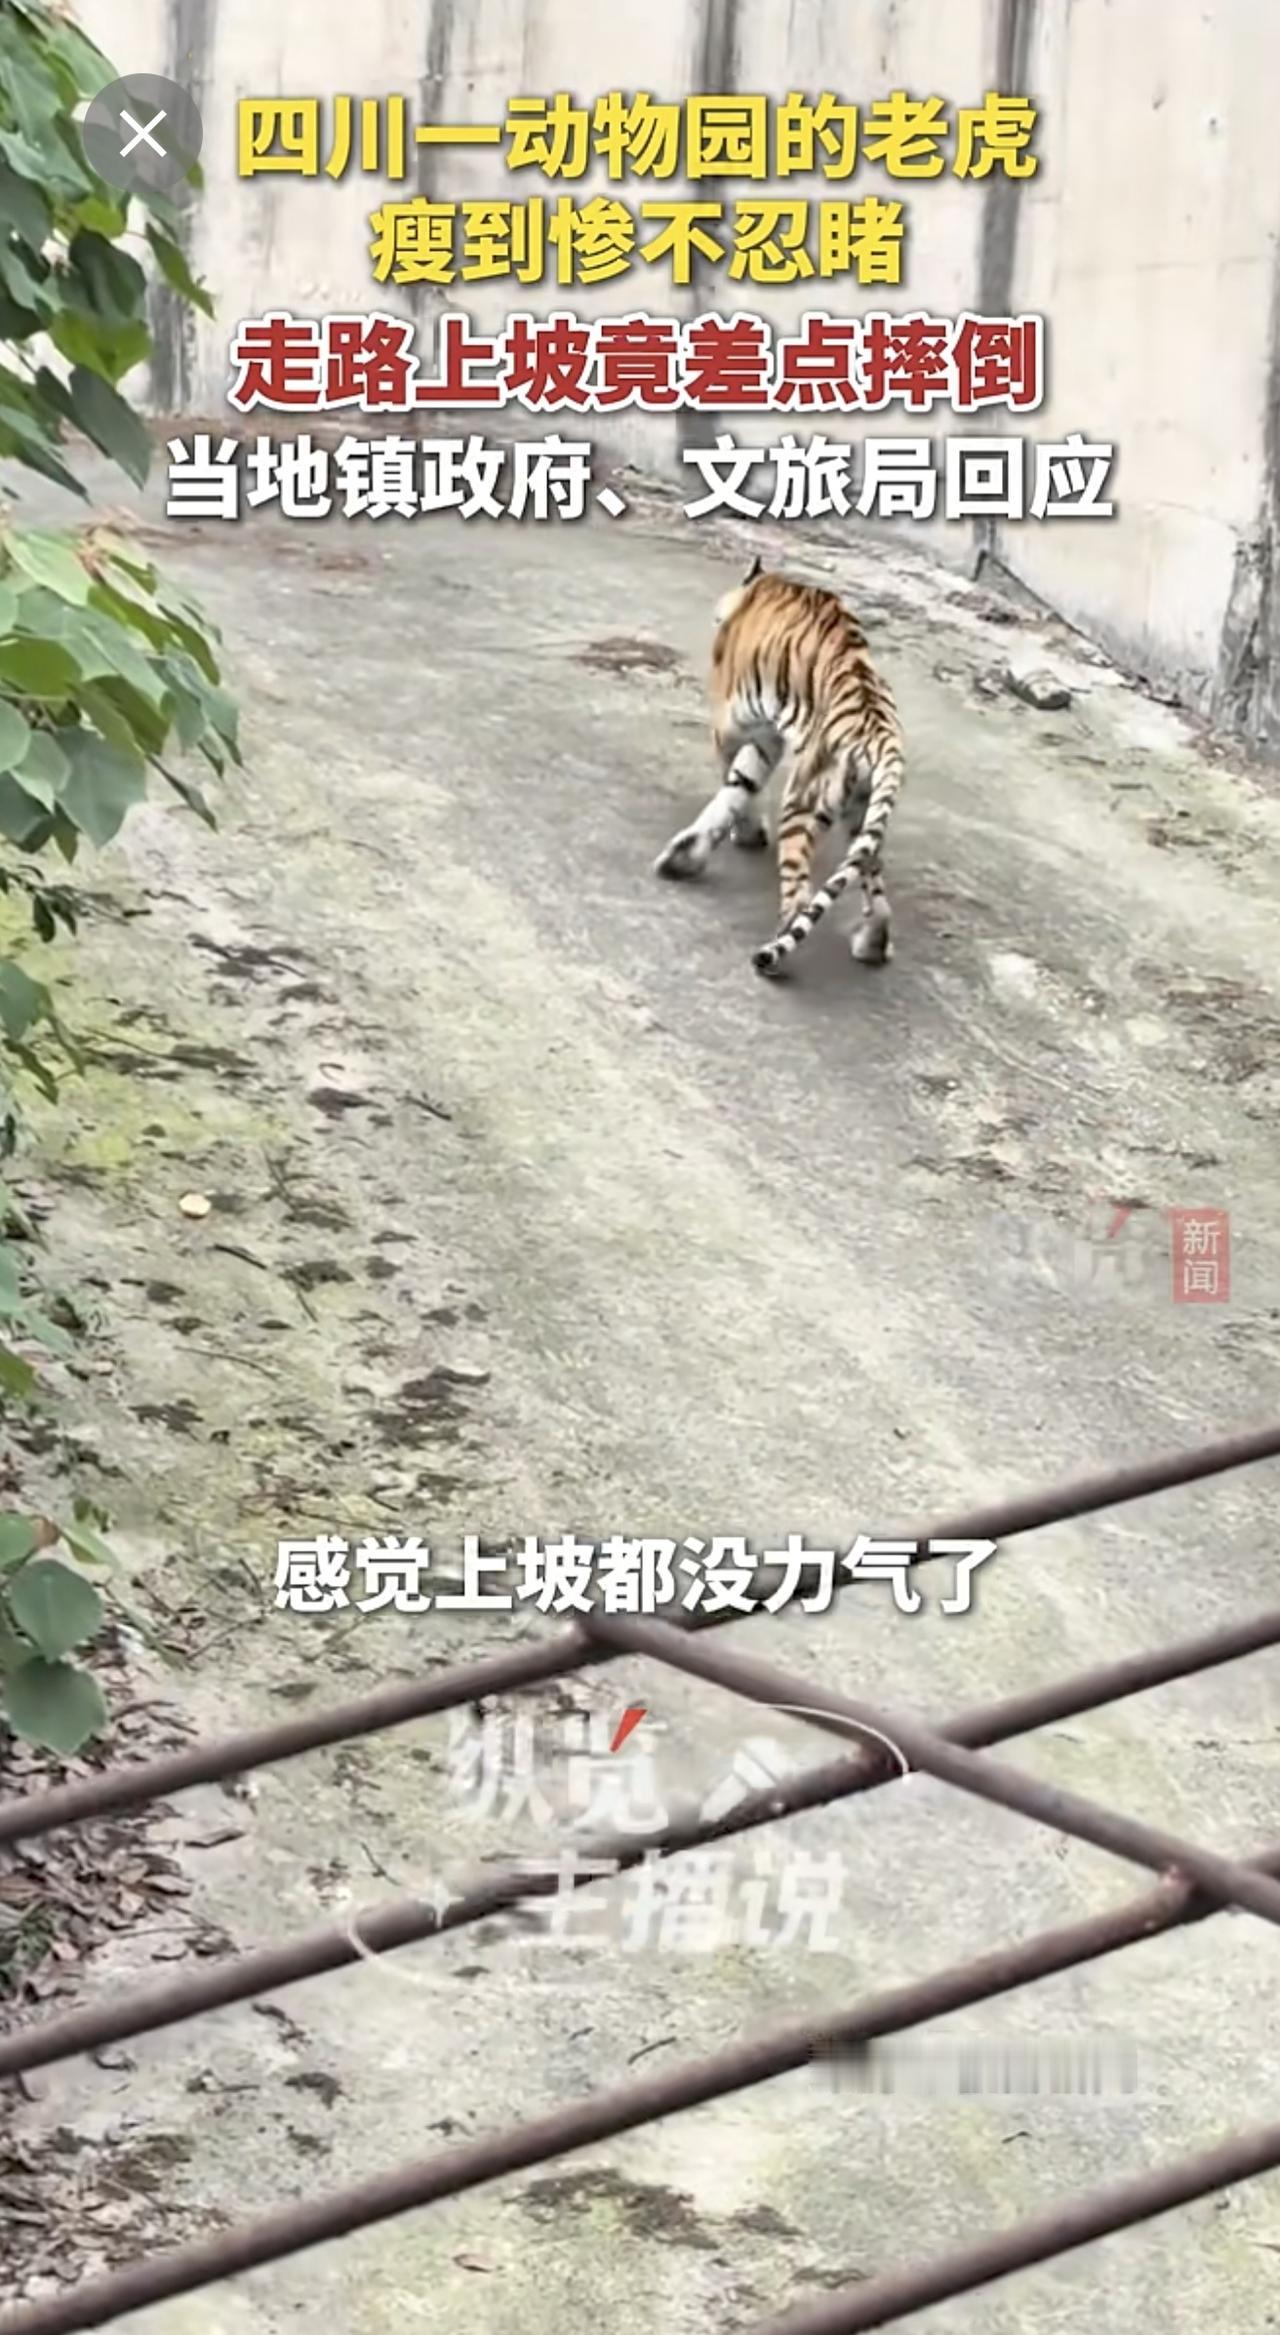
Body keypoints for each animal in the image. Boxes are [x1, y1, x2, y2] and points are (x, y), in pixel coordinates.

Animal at [654, 557, 905, 979]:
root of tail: (881, 733)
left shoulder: (732, 724)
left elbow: (734, 785)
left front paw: (740, 833)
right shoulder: (765, 735)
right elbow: (742, 783)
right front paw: (691, 855)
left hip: (805, 801)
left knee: (800, 894)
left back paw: (772, 954)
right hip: (863, 813)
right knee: (874, 882)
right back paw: (873, 943)